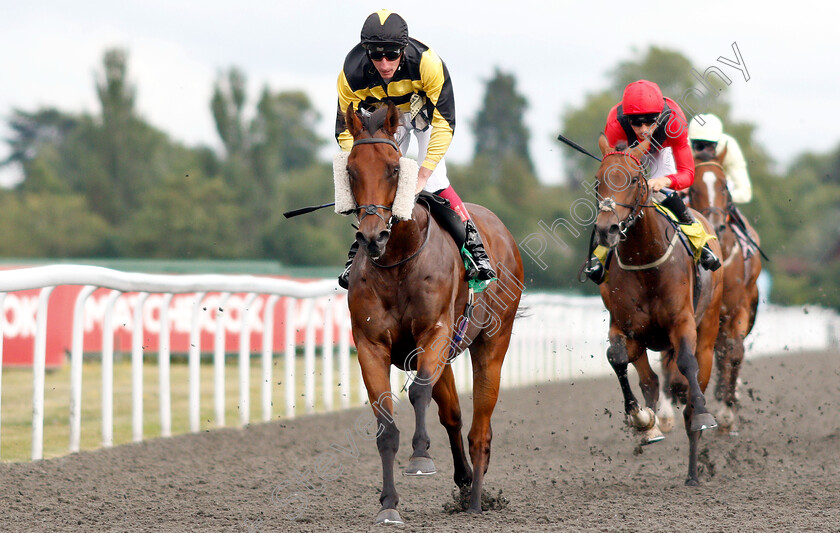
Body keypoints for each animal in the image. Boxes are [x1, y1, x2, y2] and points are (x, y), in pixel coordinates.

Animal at [338, 102, 520, 520]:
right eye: (351, 169)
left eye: (394, 168)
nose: (372, 236)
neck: (398, 261)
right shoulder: (371, 345)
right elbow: (385, 424)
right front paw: (388, 505)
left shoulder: (433, 331)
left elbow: (419, 392)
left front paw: (420, 456)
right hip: (448, 354)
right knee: (452, 415)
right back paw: (465, 482)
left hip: (492, 343)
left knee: (480, 430)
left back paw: (475, 502)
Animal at [592, 134, 724, 486]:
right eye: (598, 181)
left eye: (633, 180)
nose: (607, 229)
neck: (645, 261)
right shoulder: (624, 327)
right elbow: (617, 358)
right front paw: (640, 418)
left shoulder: (682, 322)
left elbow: (687, 366)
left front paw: (701, 415)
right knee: (649, 379)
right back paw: (651, 425)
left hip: (709, 328)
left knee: (693, 379)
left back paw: (693, 472)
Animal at [684, 149, 764, 432]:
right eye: (694, 188)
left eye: (724, 185)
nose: (716, 224)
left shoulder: (737, 308)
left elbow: (735, 352)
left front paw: (728, 409)